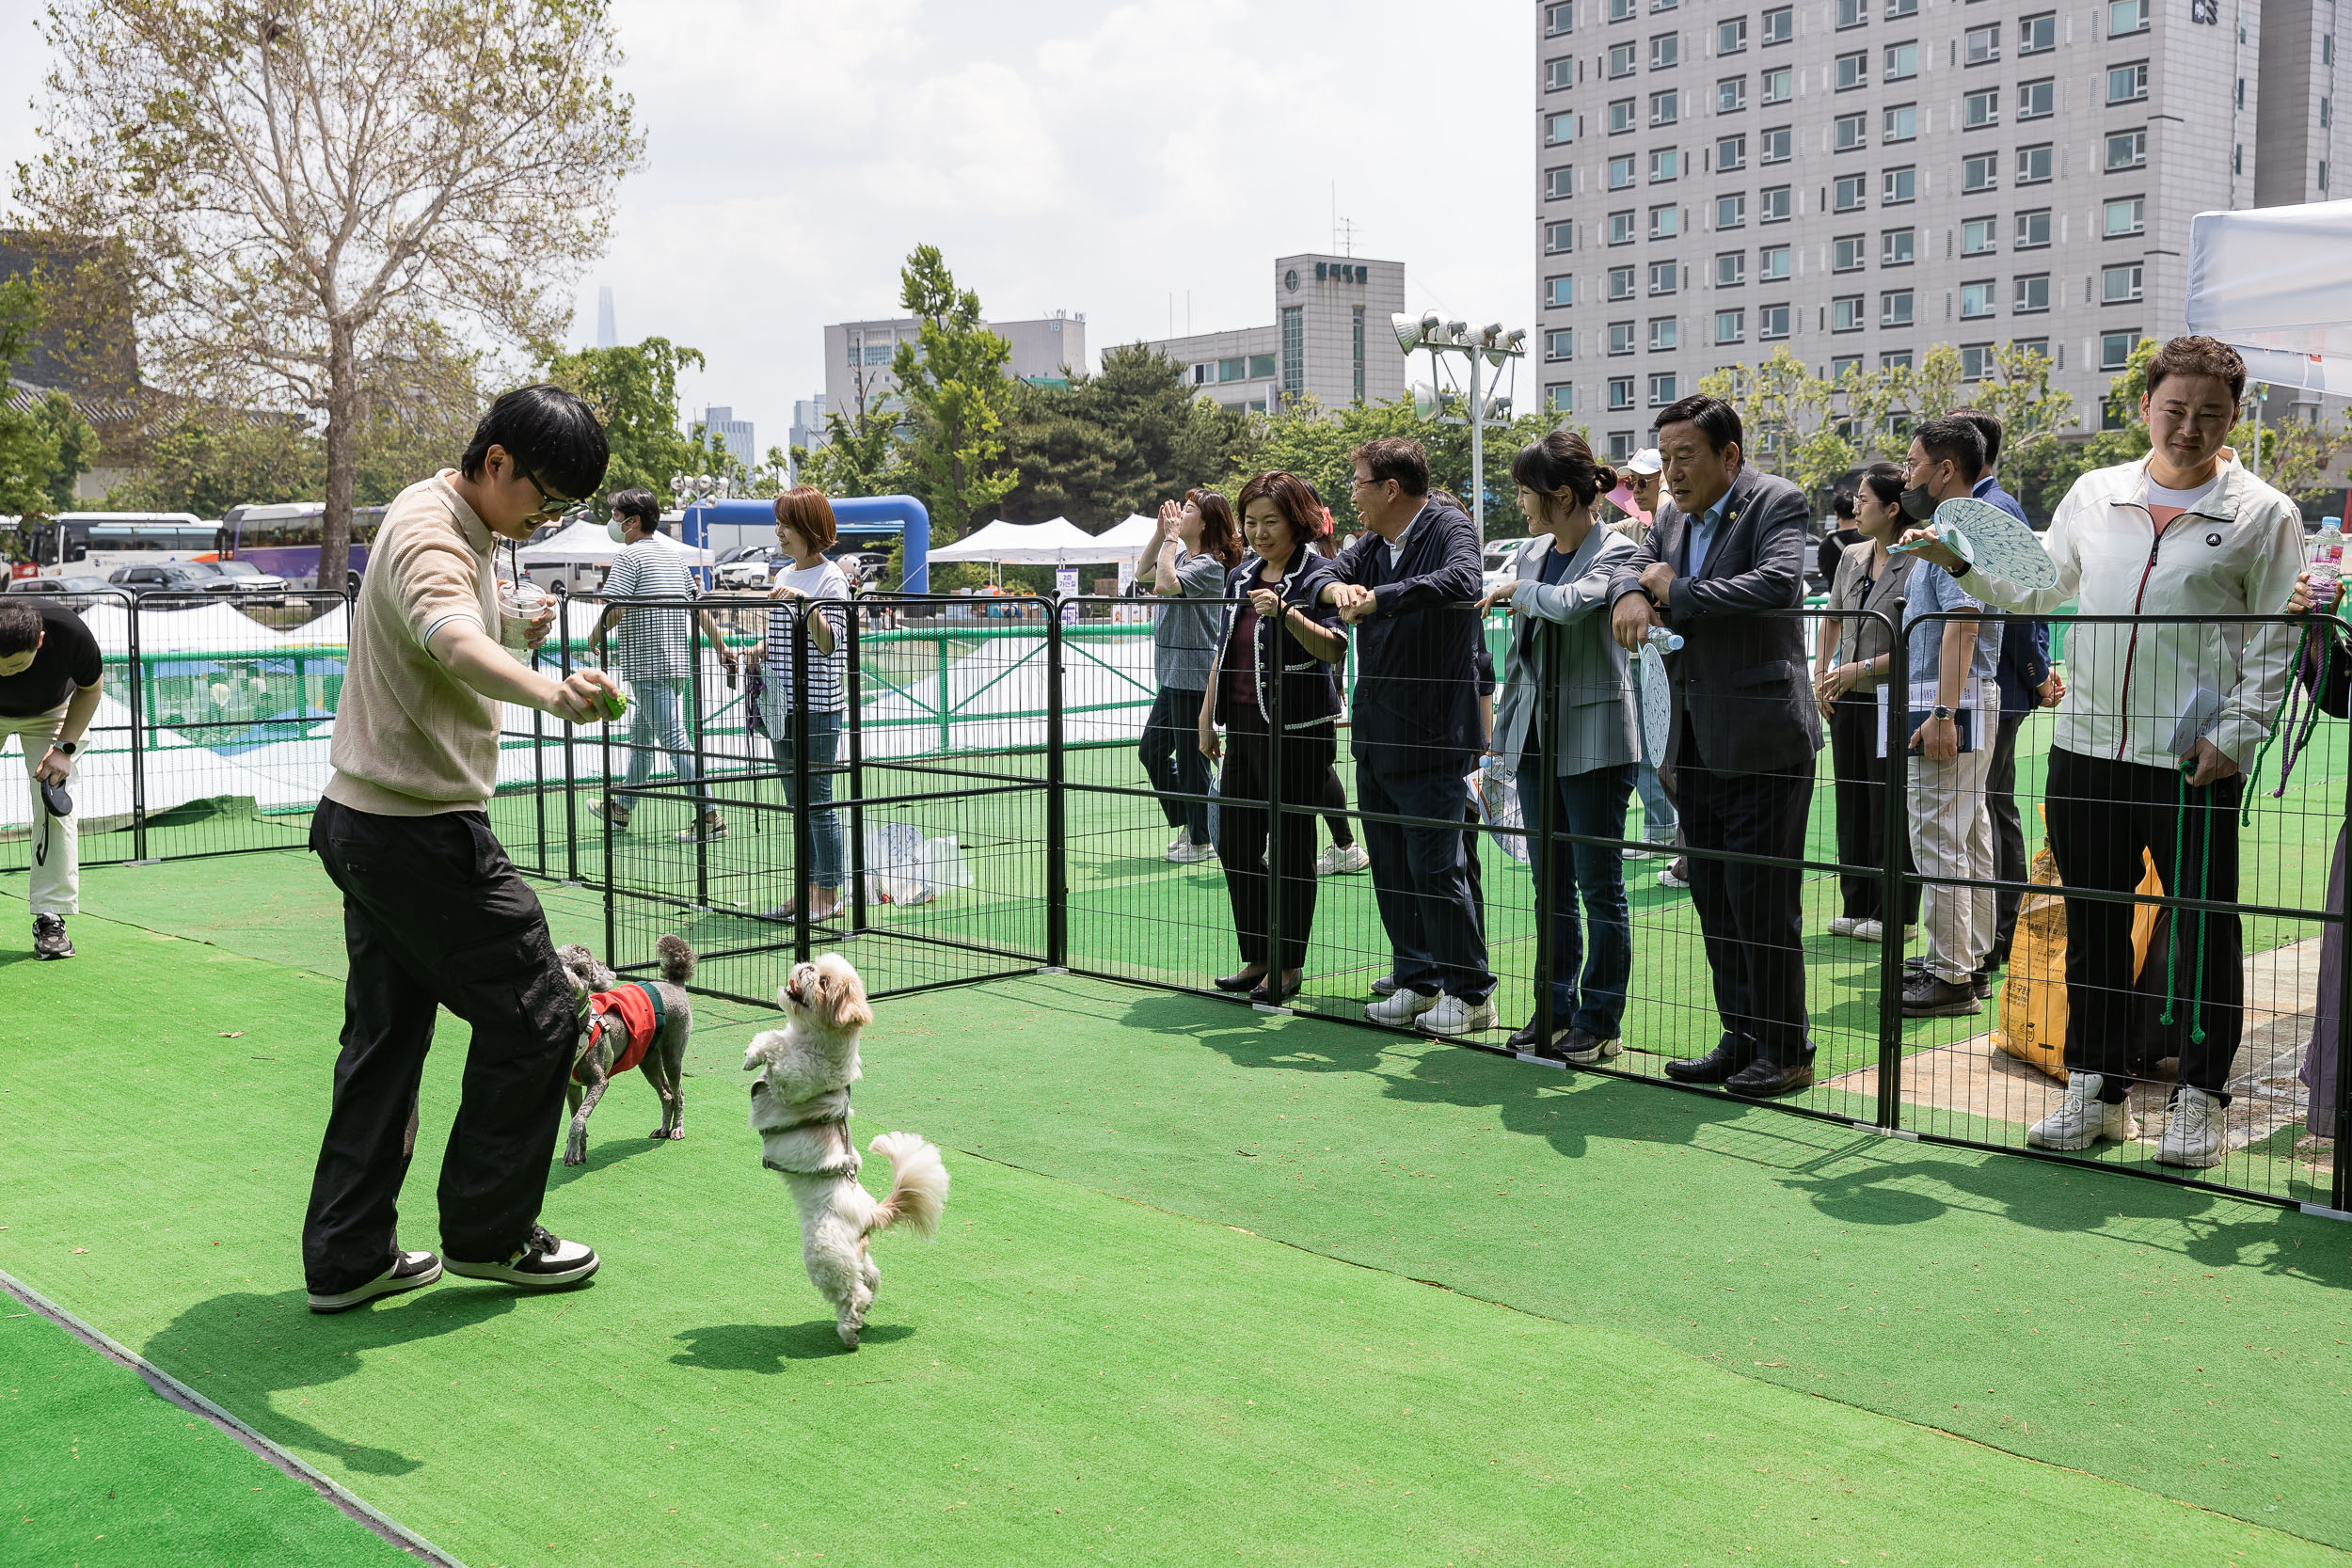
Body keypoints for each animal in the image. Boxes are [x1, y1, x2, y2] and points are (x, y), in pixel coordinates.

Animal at [552, 930, 691, 1165]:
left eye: (579, 971)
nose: (565, 980)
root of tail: (675, 985)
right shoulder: (572, 1086)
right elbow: (578, 1117)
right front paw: (579, 1152)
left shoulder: (599, 1083)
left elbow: (577, 1121)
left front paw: (572, 1151)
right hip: (648, 1061)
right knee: (666, 1095)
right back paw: (663, 1129)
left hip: (673, 1055)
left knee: (678, 1093)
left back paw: (677, 1129)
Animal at [743, 958, 946, 1354]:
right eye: (816, 967)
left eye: (823, 982)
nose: (805, 965)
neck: (809, 1039)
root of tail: (870, 1213)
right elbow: (770, 1037)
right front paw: (751, 1054)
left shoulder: (796, 1078)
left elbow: (777, 1052)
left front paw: (758, 1056)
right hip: (854, 1256)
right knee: (870, 1279)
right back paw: (861, 1317)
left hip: (825, 1250)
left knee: (852, 1293)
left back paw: (850, 1329)